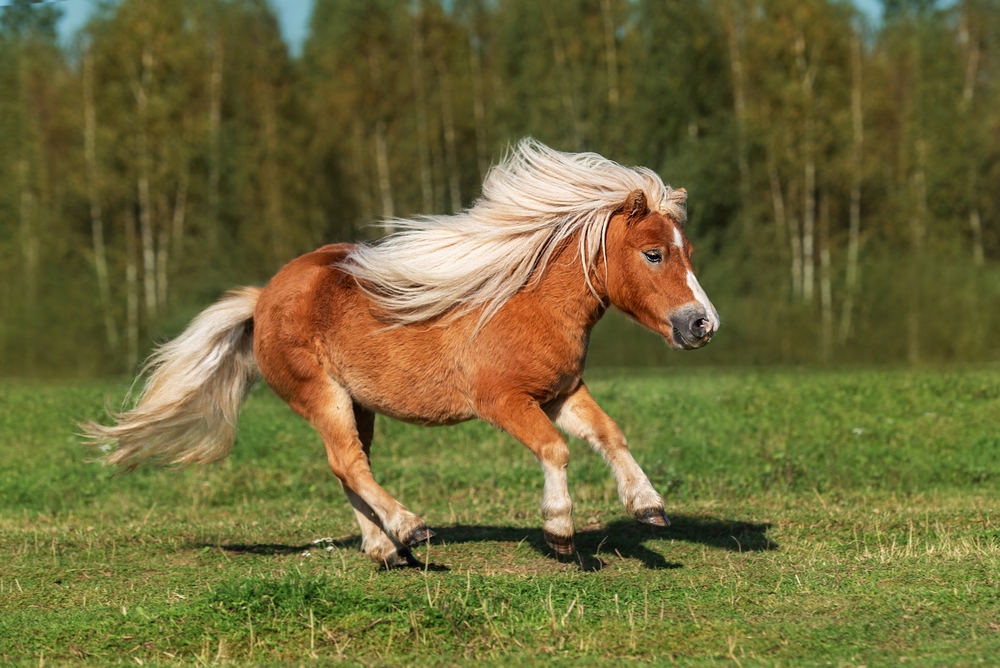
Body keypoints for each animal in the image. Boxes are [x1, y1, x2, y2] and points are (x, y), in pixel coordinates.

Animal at [83, 139, 719, 567]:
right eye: (655, 254)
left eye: (685, 250)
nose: (702, 325)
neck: (526, 301)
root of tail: (263, 298)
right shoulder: (504, 402)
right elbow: (555, 449)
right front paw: (560, 533)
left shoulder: (561, 392)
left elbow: (609, 434)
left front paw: (649, 507)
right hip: (322, 396)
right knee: (347, 463)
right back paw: (410, 530)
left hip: (356, 404)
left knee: (350, 466)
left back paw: (383, 549)